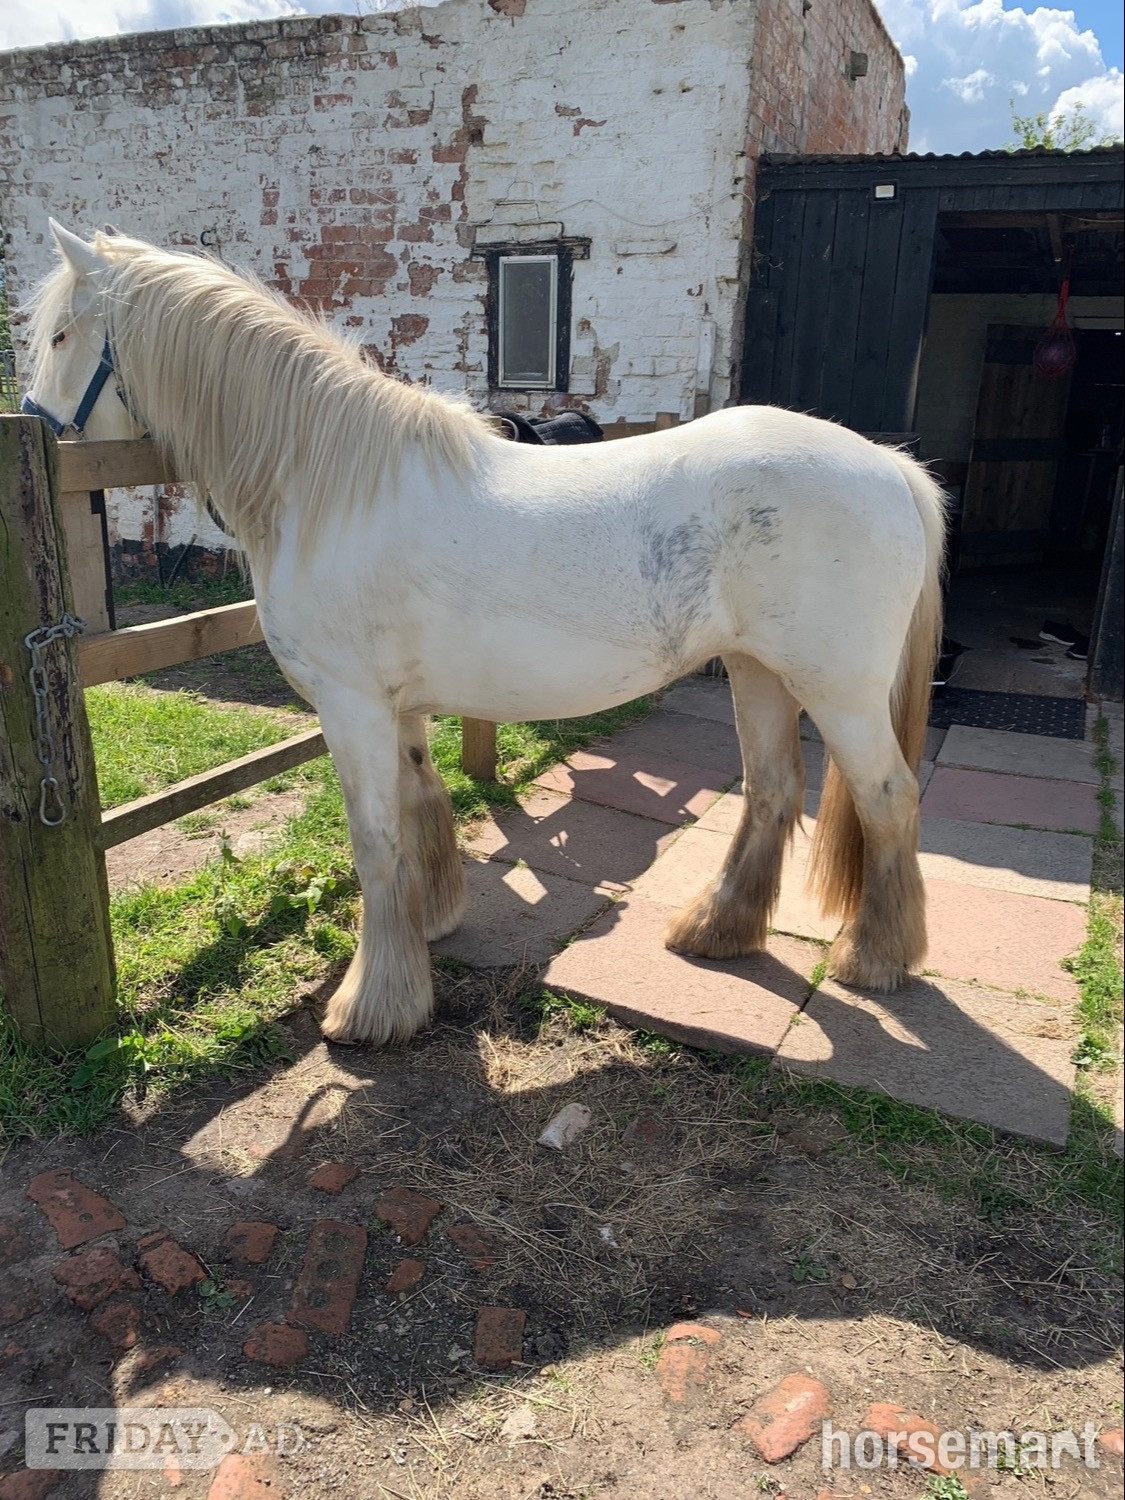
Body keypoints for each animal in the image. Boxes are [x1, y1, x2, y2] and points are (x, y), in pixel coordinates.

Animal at [22, 220, 945, 1046]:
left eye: (63, 334)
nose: (36, 423)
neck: (326, 488)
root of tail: (889, 467)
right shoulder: (395, 705)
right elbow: (420, 806)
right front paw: (427, 932)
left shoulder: (351, 706)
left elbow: (374, 841)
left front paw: (373, 1009)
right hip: (758, 670)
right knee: (772, 790)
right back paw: (716, 931)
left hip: (838, 688)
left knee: (887, 798)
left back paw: (873, 959)